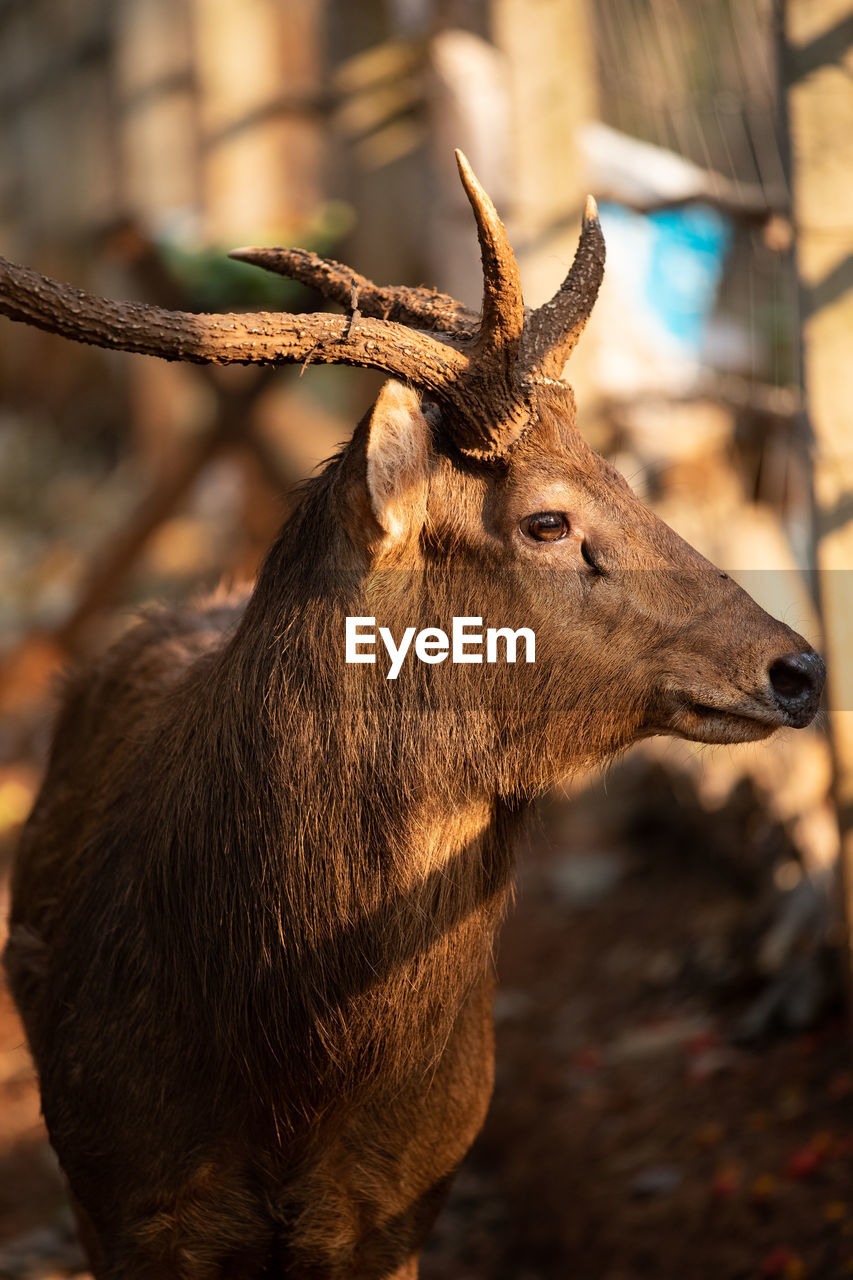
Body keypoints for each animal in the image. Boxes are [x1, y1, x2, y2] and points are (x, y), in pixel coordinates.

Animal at [0, 152, 824, 1280]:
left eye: (623, 474)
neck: (283, 1068)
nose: (797, 667)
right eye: (547, 519)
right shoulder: (128, 1199)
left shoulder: (399, 1203)